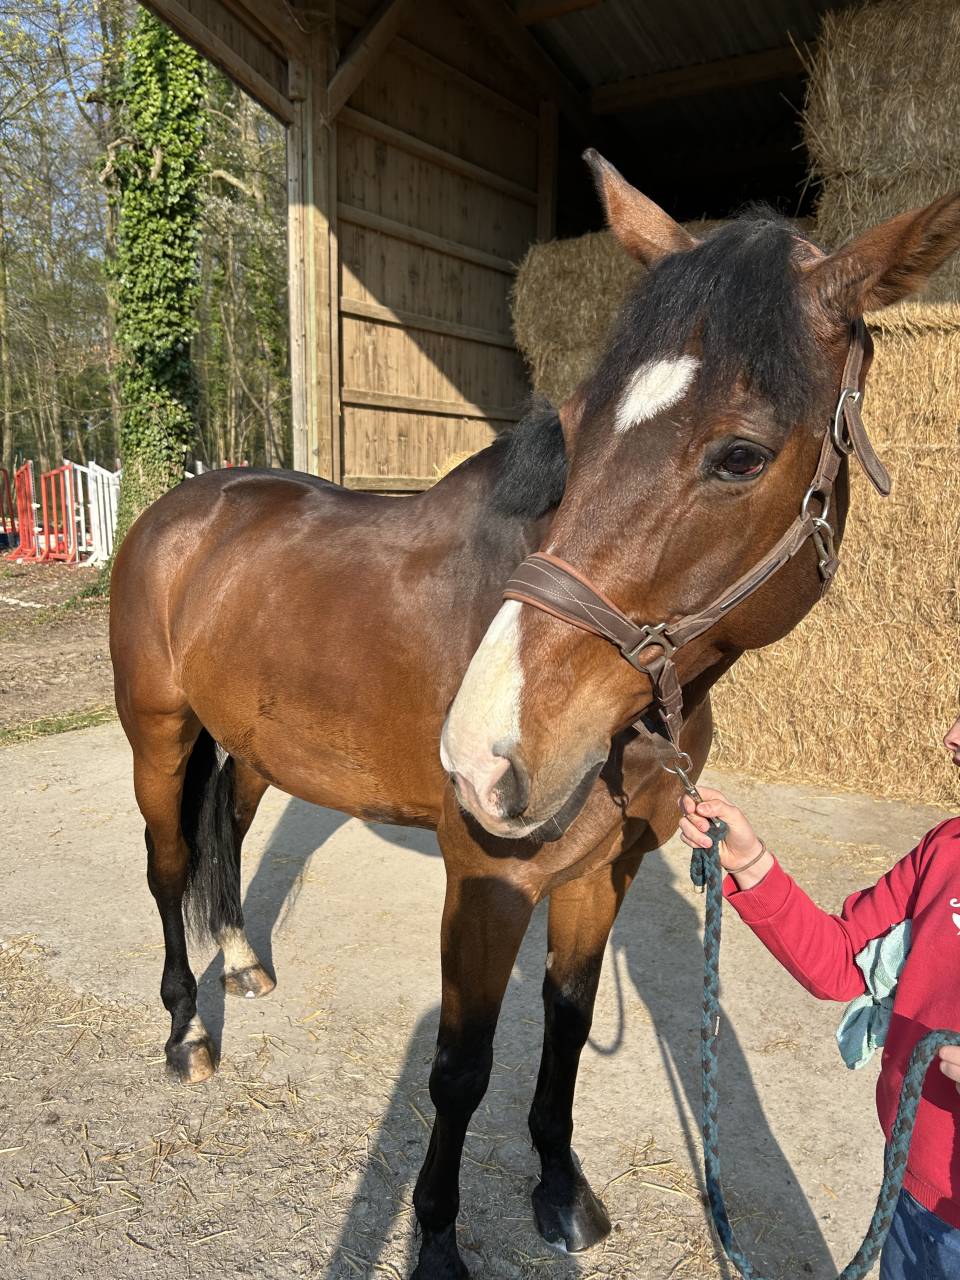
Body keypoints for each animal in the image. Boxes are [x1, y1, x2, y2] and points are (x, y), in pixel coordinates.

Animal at [110, 151, 960, 1279]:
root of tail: (185, 505)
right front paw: (436, 1238)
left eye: (740, 453)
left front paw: (561, 1189)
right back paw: (184, 1034)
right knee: (168, 866)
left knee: (230, 841)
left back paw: (244, 965)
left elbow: (567, 1026)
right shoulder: (487, 882)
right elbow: (460, 1069)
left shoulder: (605, 871)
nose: (486, 754)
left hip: (251, 749)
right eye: (580, 421)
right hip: (158, 735)